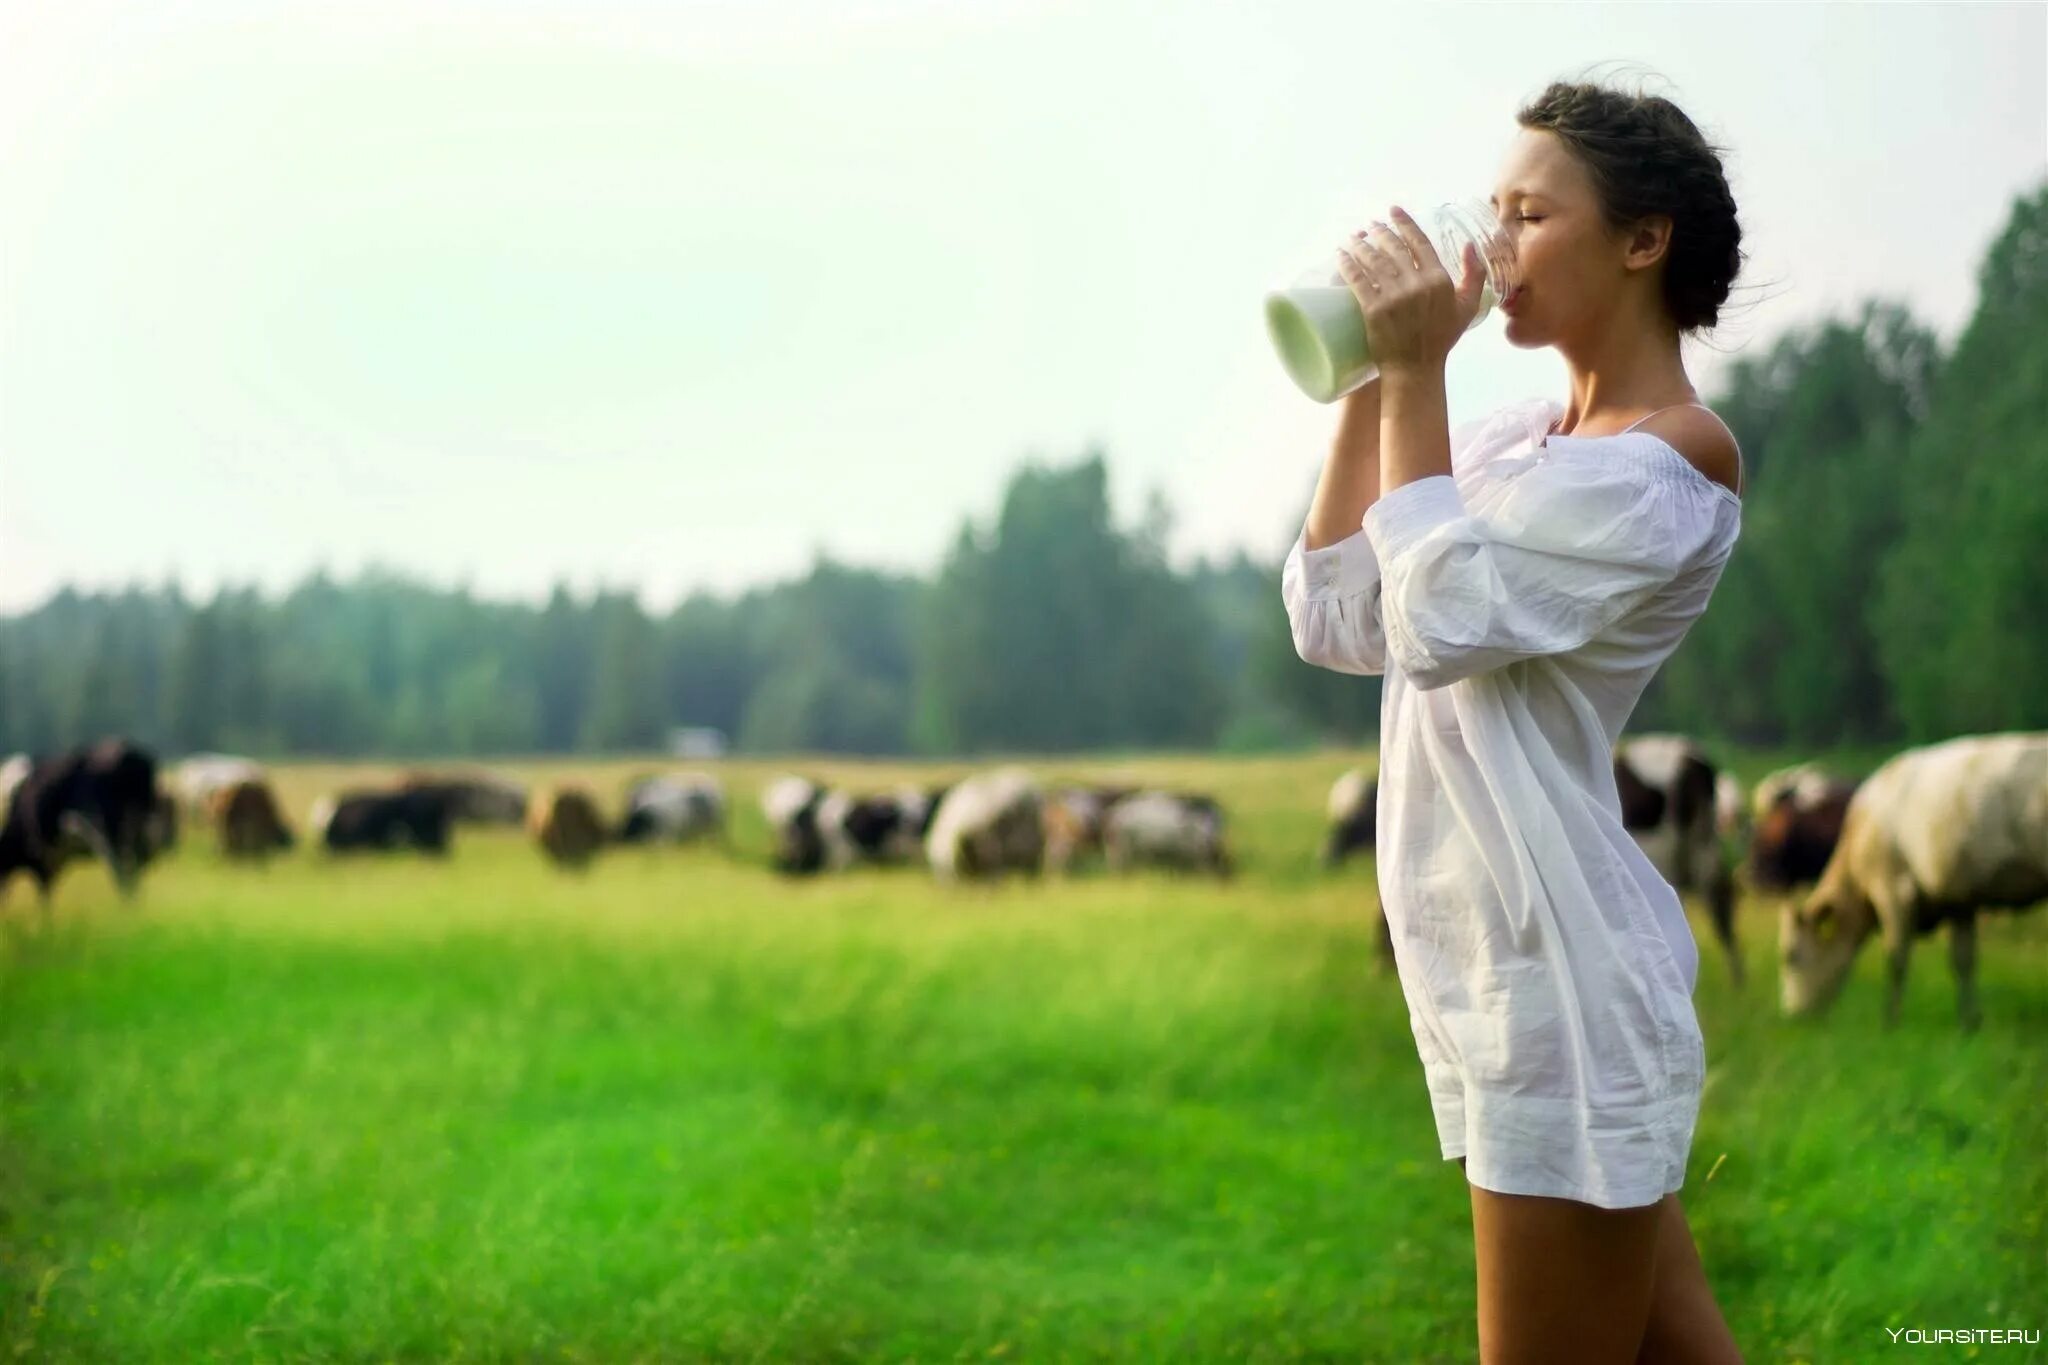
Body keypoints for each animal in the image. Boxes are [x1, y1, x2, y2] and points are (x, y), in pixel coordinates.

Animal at [1777, 732, 2048, 1031]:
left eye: (1790, 956)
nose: (1792, 1016)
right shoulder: (1959, 900)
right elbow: (1963, 960)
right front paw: (1969, 1023)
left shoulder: (1892, 891)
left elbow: (1896, 959)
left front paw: (1890, 1022)